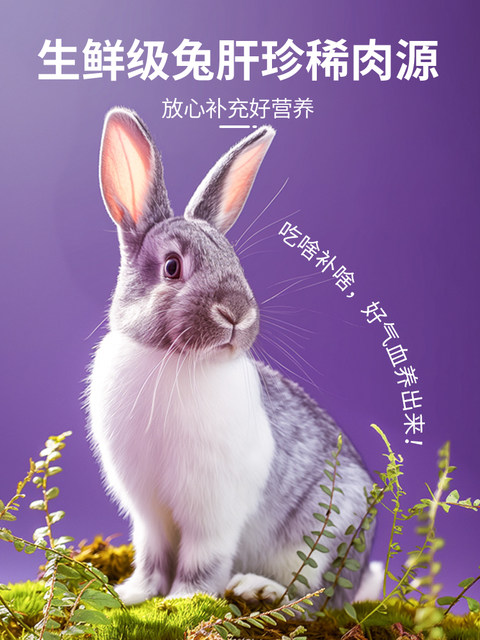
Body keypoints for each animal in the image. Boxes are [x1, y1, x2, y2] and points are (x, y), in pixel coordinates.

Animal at [87, 107, 379, 607]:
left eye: (235, 262)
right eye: (172, 267)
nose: (237, 314)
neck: (175, 359)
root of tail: (358, 580)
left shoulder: (214, 512)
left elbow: (203, 560)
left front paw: (183, 601)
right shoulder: (148, 512)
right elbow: (152, 556)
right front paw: (134, 595)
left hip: (325, 535)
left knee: (312, 599)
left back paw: (258, 587)